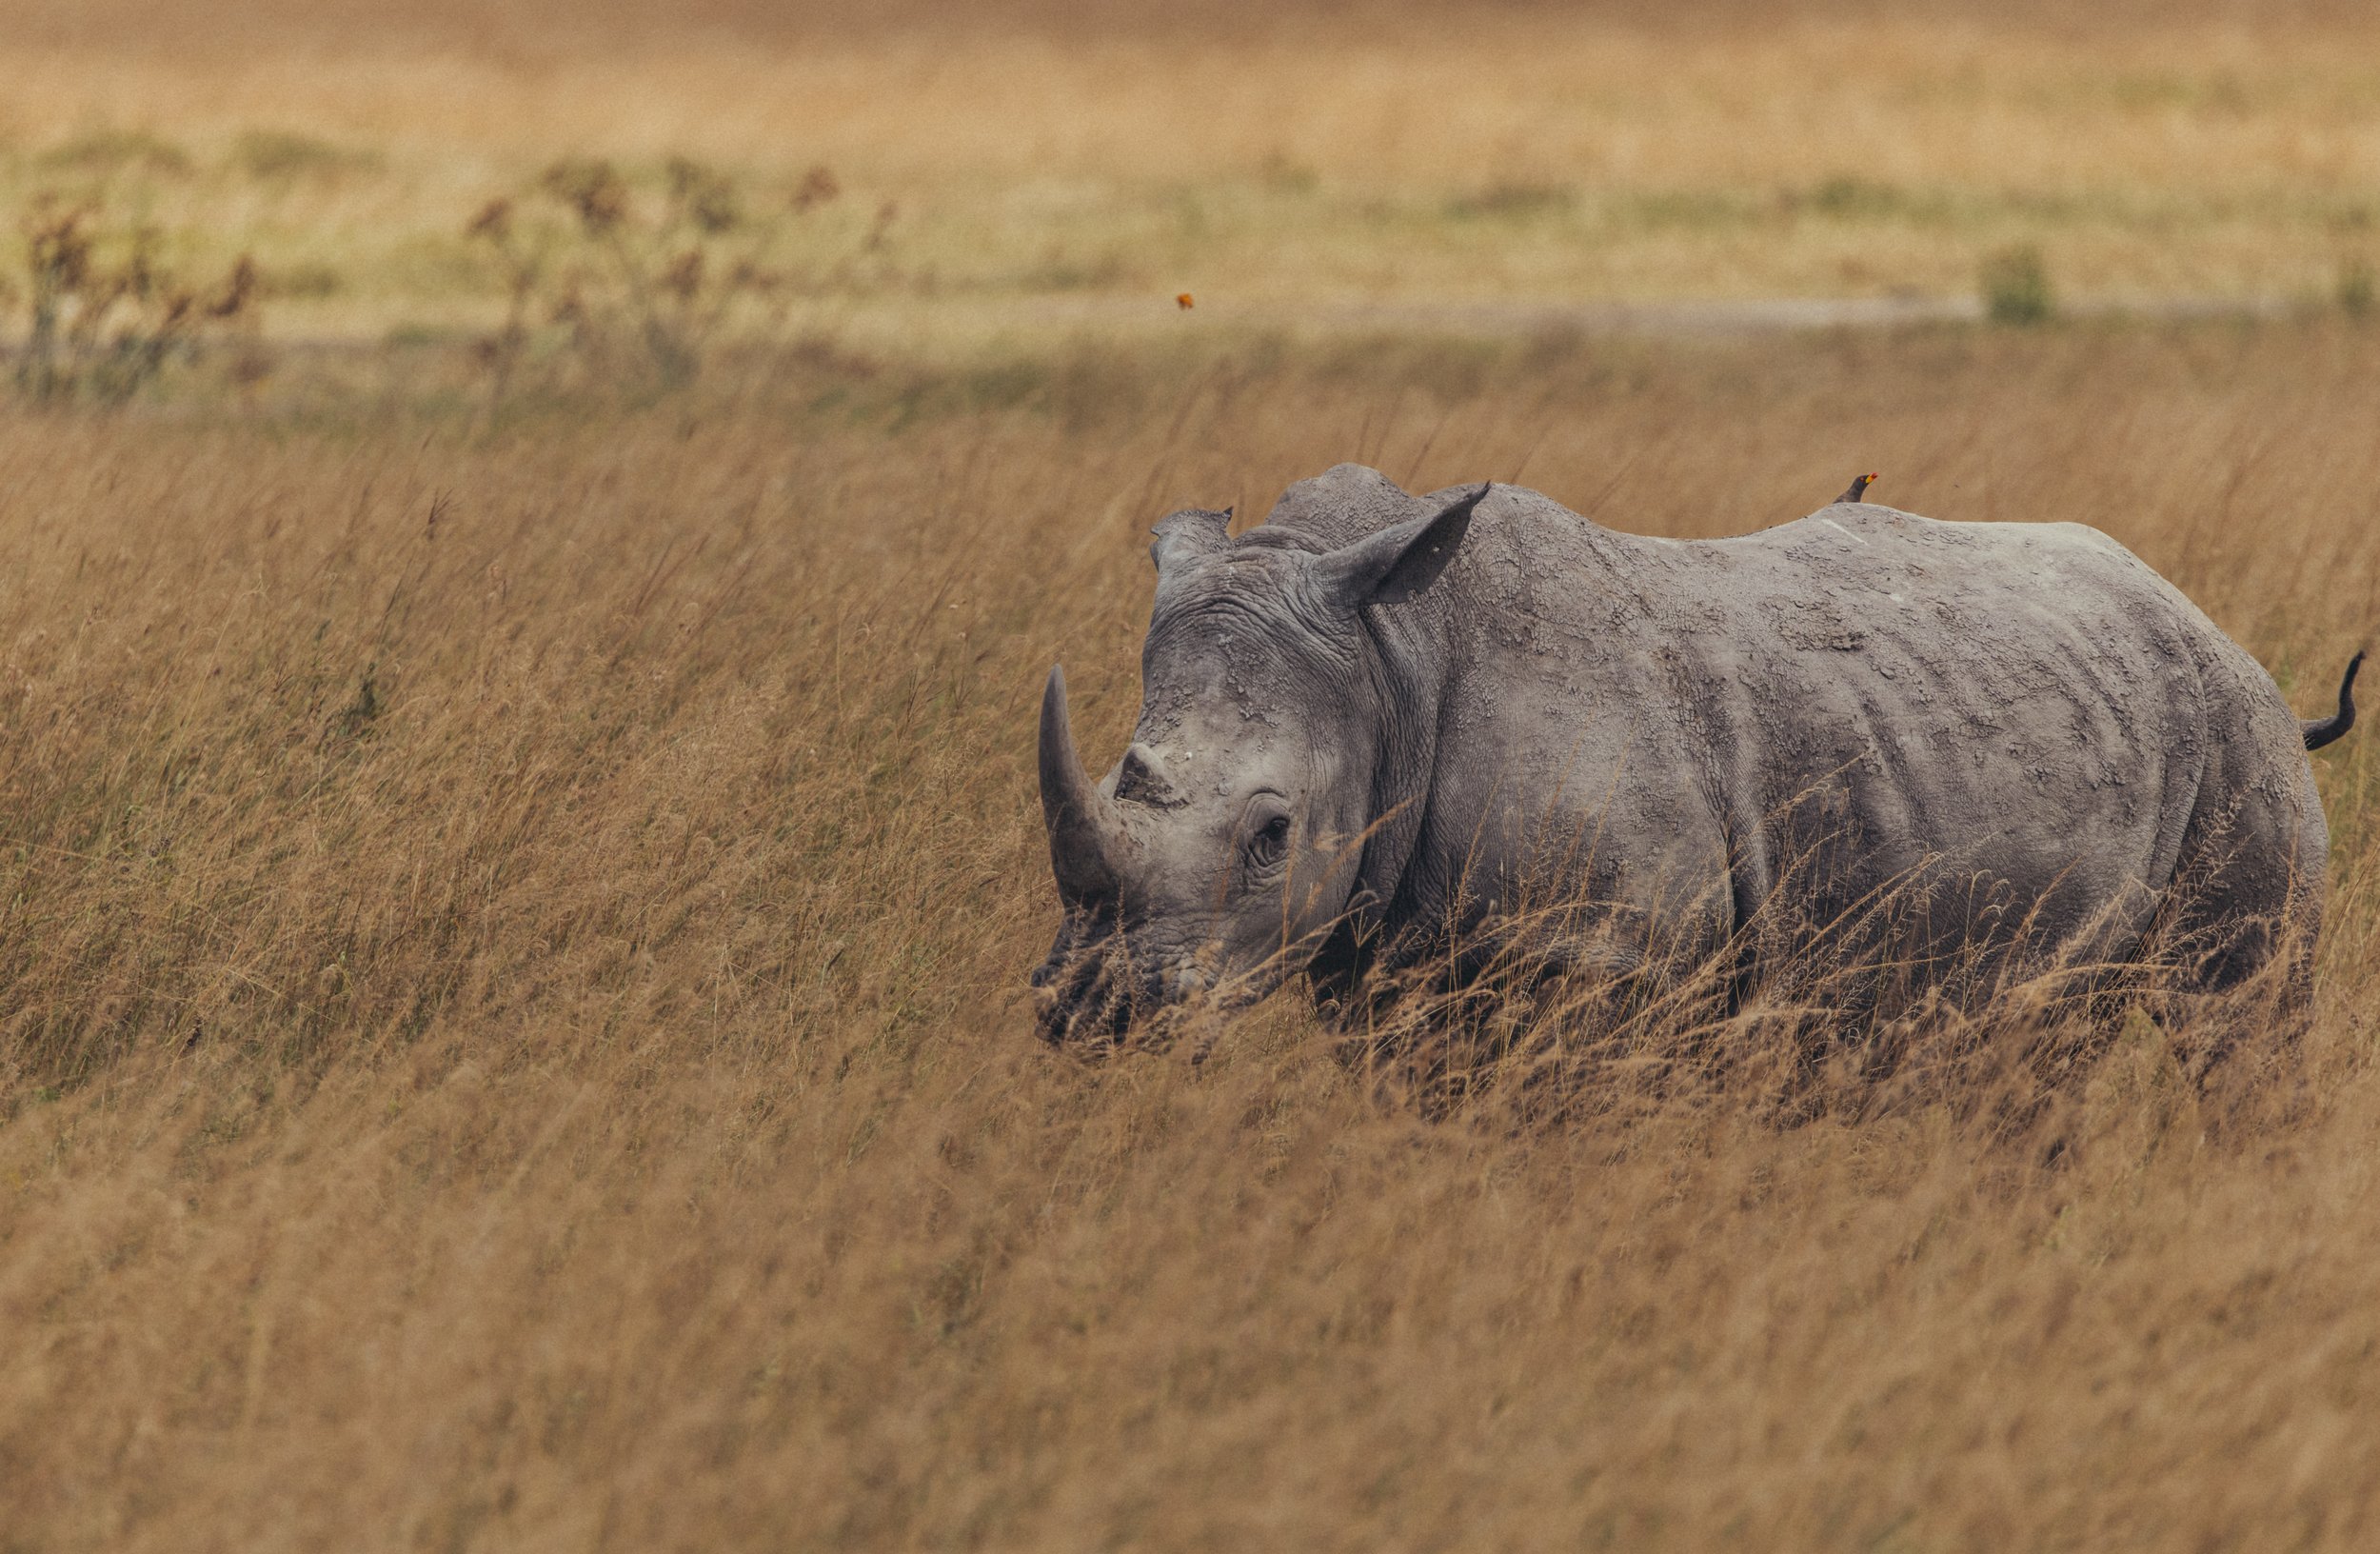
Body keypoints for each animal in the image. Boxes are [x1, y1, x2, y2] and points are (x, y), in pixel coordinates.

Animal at [1031, 463, 2359, 1049]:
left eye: (1270, 837)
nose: (1093, 1010)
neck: (1391, 653)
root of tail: (2206, 621)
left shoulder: (1606, 962)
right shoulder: (1387, 956)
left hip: (2237, 740)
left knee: (2231, 1022)